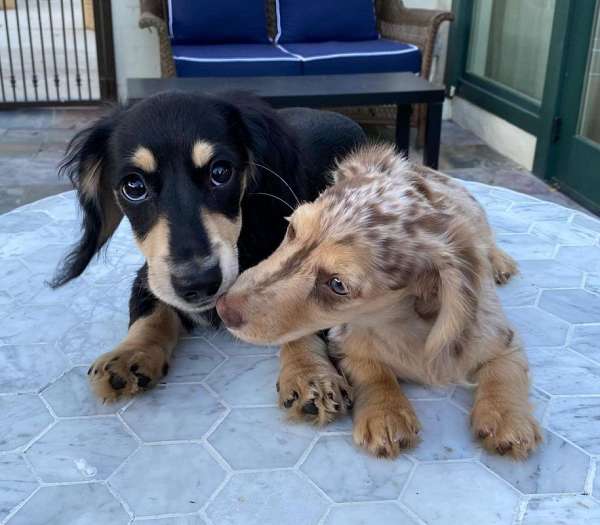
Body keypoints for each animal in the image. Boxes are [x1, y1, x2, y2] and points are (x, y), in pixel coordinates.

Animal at [52, 91, 366, 402]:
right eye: (134, 187)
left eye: (221, 172)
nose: (199, 283)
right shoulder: (149, 274)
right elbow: (149, 312)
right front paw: (129, 355)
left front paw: (309, 373)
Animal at [218, 143, 540, 458]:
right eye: (292, 230)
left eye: (337, 284)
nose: (222, 308)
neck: (398, 322)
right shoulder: (345, 341)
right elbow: (371, 368)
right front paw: (386, 413)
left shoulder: (500, 336)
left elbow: (505, 370)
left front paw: (508, 418)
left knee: (486, 241)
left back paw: (499, 261)